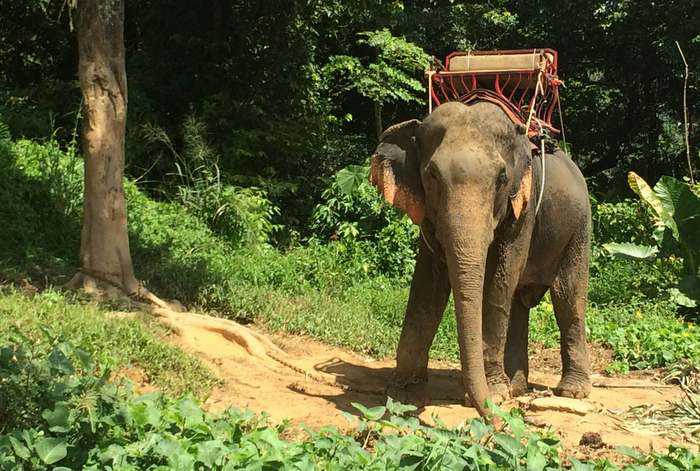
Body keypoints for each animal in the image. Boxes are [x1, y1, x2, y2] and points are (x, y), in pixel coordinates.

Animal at [370, 101, 592, 418]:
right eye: (432, 175)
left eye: (502, 178)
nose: (496, 422)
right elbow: (426, 285)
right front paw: (401, 395)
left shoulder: (522, 209)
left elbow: (500, 281)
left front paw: (496, 394)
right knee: (519, 303)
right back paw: (517, 388)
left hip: (579, 229)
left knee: (568, 298)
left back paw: (571, 391)